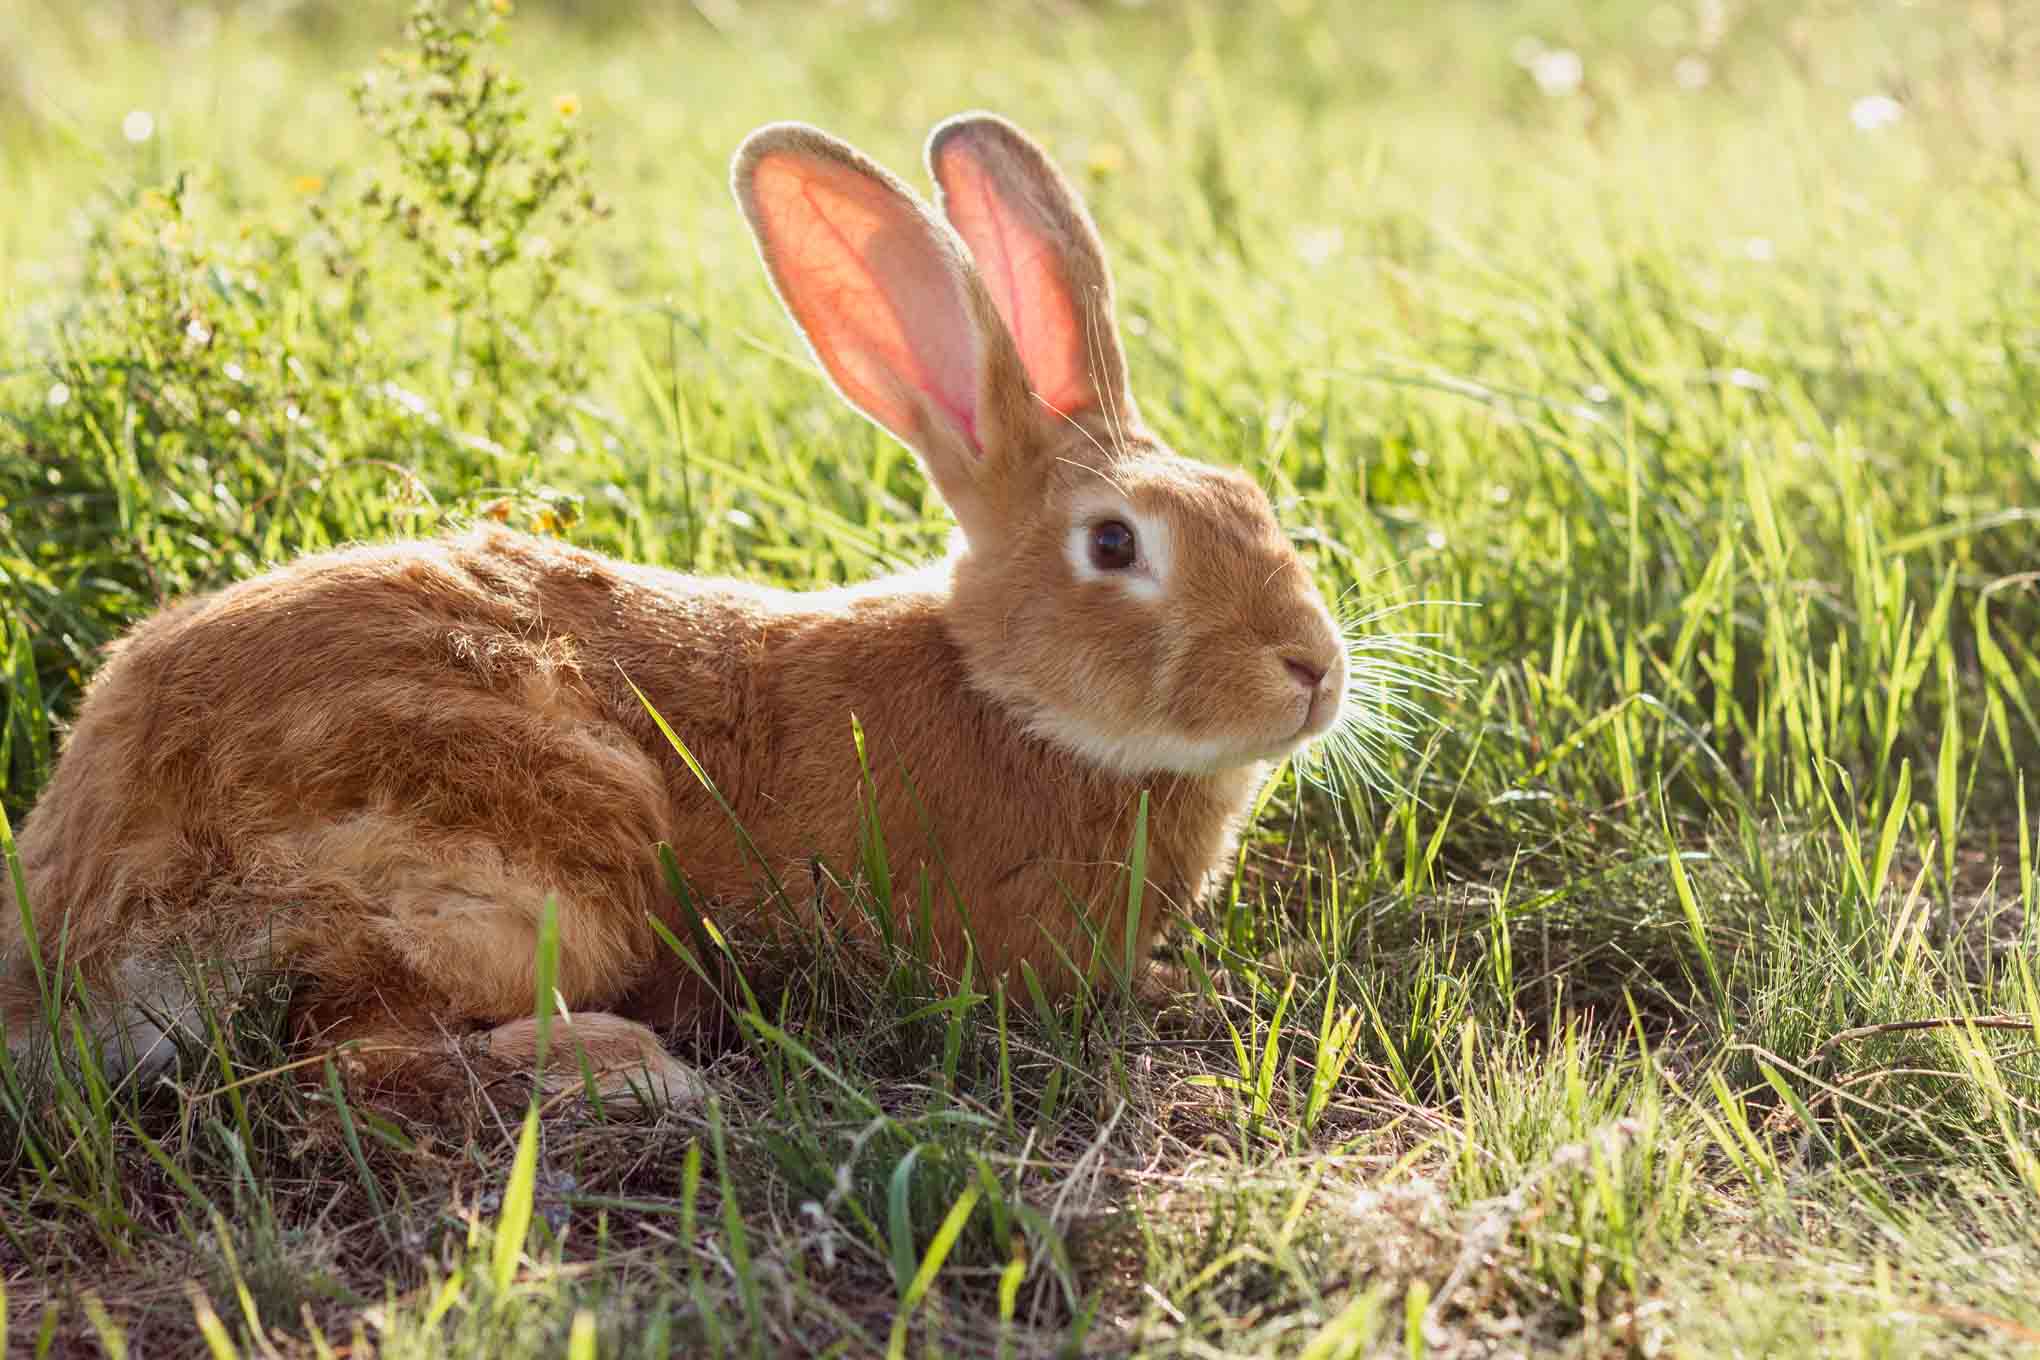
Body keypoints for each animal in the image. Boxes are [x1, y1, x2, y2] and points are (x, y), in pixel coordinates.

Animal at [3, 117, 1354, 1109]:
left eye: (1252, 500)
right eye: (1116, 544)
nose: (1314, 672)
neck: (1013, 698)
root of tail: (88, 906)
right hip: (524, 866)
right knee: (350, 1050)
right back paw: (633, 1072)